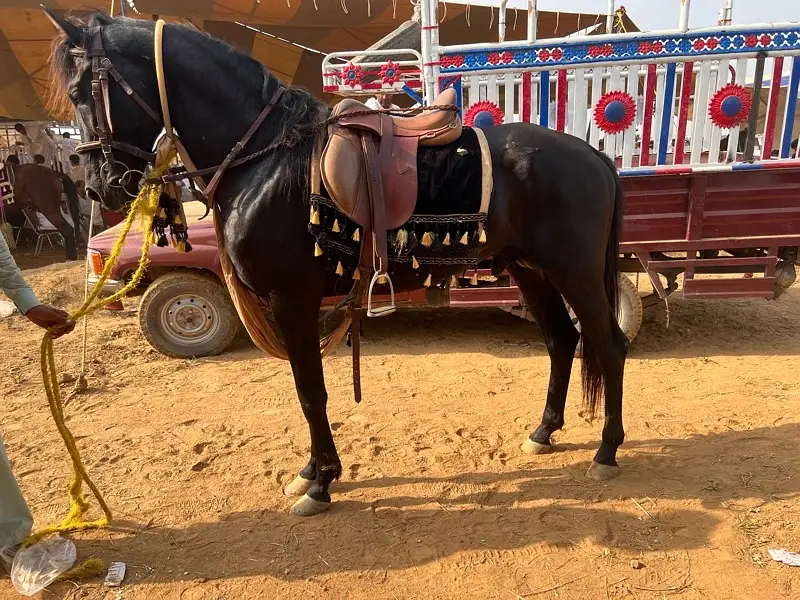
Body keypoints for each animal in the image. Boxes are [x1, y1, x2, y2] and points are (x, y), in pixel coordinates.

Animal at [46, 12, 629, 516]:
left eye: (79, 93)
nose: (99, 186)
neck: (265, 158)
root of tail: (595, 155)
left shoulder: (291, 300)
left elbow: (311, 392)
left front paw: (321, 481)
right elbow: (309, 391)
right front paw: (312, 471)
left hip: (576, 275)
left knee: (608, 345)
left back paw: (607, 451)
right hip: (530, 271)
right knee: (562, 341)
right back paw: (544, 432)